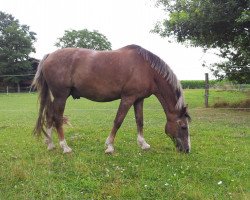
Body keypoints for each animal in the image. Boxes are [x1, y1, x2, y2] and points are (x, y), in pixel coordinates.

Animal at [32, 45, 190, 155]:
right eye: (183, 127)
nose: (187, 150)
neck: (146, 69)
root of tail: (49, 56)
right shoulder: (128, 98)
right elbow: (118, 121)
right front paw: (109, 146)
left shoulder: (138, 99)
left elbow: (140, 121)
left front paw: (143, 144)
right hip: (61, 96)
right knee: (57, 119)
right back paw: (65, 147)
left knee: (49, 116)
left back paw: (50, 144)